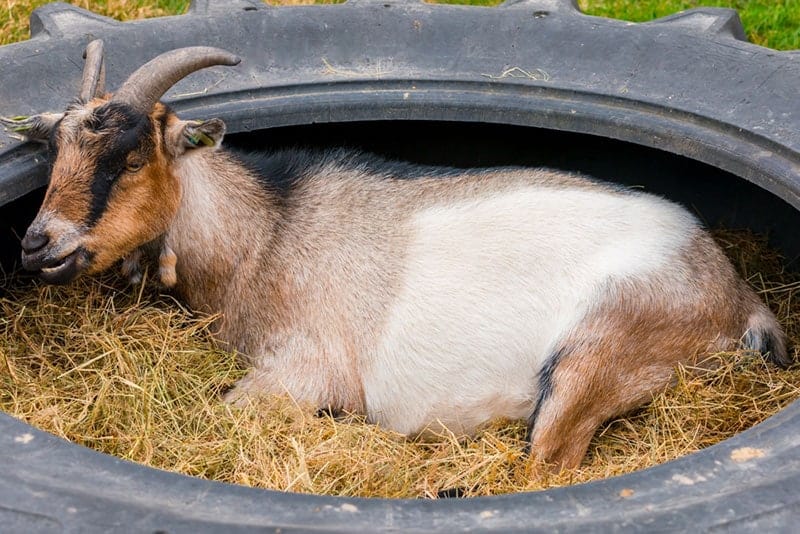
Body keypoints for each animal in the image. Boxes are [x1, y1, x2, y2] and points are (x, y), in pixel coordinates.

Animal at [2, 41, 791, 469]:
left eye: (132, 154)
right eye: (56, 146)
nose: (39, 244)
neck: (267, 231)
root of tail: (735, 293)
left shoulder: (306, 369)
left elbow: (220, 416)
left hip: (599, 354)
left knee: (549, 463)